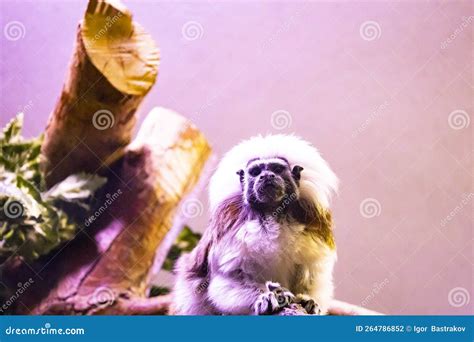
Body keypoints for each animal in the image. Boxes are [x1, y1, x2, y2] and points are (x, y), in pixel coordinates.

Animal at [173, 134, 336, 316]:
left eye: (276, 169)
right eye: (256, 172)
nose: (267, 176)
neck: (273, 214)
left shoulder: (312, 224)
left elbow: (313, 273)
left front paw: (306, 300)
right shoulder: (231, 227)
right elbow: (227, 278)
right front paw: (267, 297)